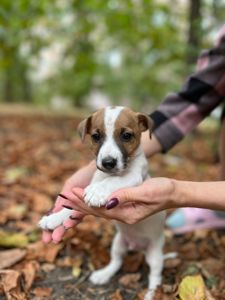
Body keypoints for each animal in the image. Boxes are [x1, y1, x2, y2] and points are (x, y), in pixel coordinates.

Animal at [39, 106, 174, 300]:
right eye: (96, 136)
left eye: (127, 135)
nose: (108, 162)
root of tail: (137, 248)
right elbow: (70, 207)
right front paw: (54, 218)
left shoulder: (134, 177)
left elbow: (113, 182)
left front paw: (98, 191)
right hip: (118, 244)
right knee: (116, 262)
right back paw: (103, 275)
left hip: (155, 255)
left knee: (155, 276)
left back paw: (151, 294)